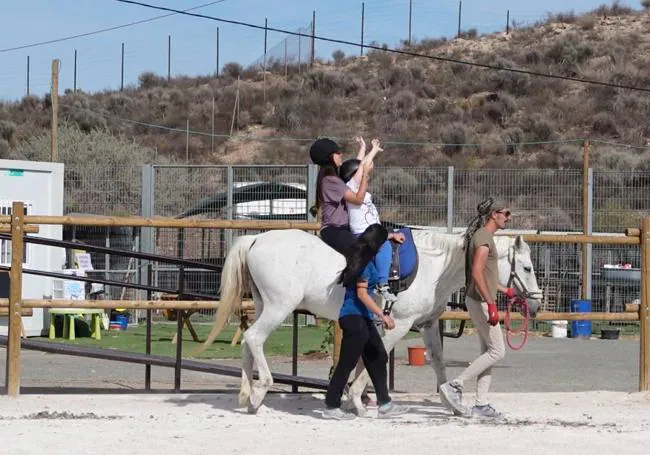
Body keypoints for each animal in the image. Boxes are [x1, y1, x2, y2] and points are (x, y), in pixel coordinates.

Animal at [204, 230, 540, 416]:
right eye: (526, 267)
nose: (536, 304)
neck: (434, 267)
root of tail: (256, 238)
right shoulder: (399, 324)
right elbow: (374, 358)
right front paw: (356, 398)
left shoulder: (428, 324)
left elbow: (438, 362)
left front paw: (451, 402)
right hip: (279, 307)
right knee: (255, 339)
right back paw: (261, 390)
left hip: (264, 305)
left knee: (248, 343)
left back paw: (248, 395)